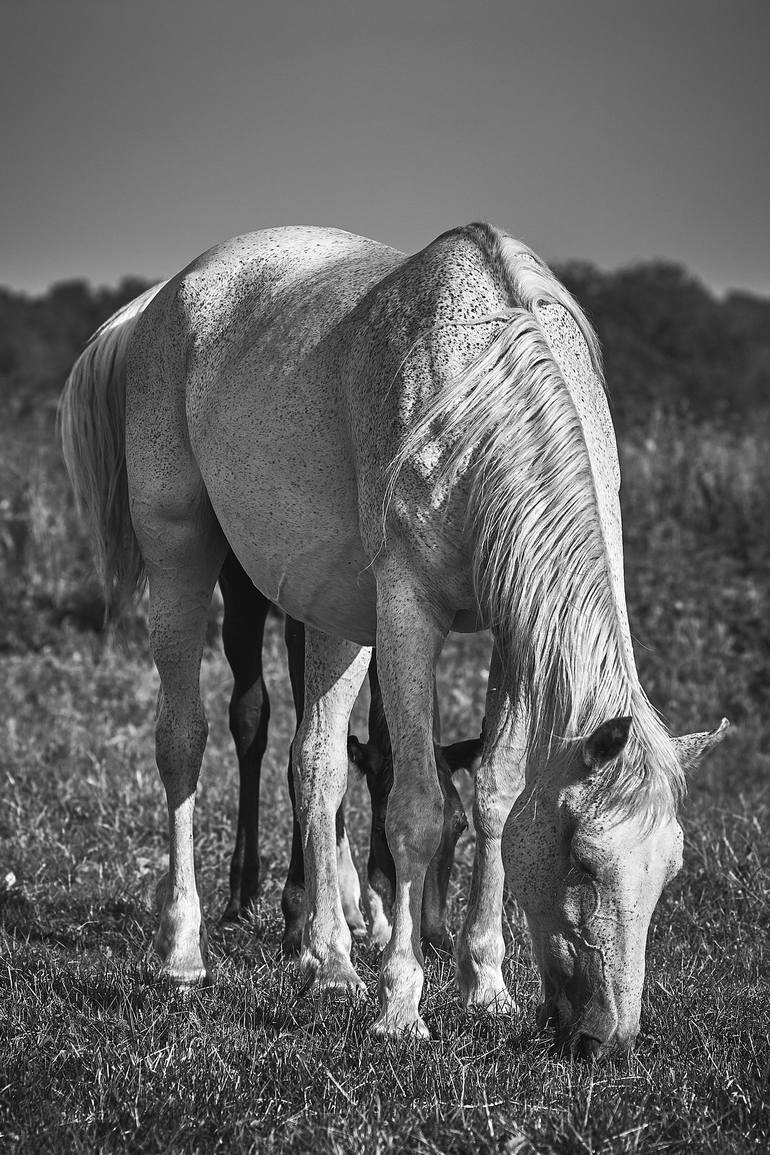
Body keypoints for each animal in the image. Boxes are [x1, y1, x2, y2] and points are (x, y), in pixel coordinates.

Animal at [61, 222, 729, 1057]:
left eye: (668, 872)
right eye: (582, 859)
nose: (607, 1039)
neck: (484, 389)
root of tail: (166, 295)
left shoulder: (509, 634)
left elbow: (496, 796)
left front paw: (486, 986)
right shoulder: (408, 614)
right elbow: (414, 806)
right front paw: (403, 1004)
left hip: (334, 617)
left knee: (316, 764)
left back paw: (331, 961)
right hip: (181, 556)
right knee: (185, 740)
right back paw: (187, 952)